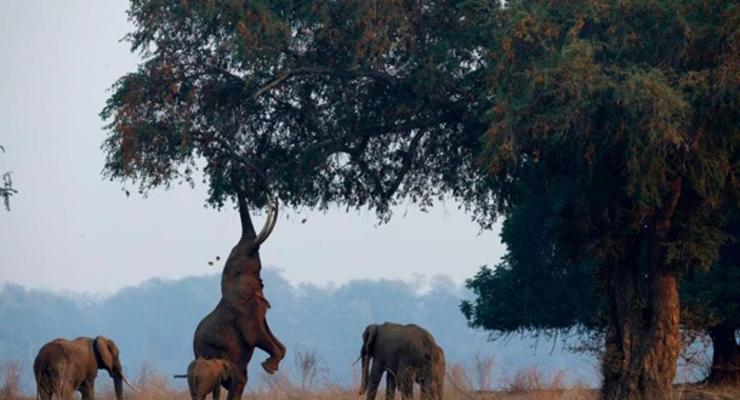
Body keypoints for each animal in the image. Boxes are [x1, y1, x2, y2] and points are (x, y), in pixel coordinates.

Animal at [194, 192, 286, 398]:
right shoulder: (243, 310)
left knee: (240, 382)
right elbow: (255, 335)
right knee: (237, 382)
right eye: (238, 254)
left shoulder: (258, 304)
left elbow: (271, 335)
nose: (273, 198)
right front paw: (269, 367)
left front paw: (270, 365)